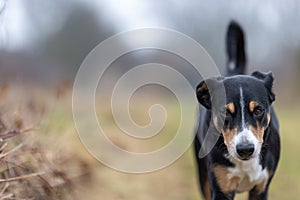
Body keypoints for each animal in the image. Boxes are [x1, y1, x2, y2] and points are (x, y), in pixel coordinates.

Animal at [193, 21, 280, 199]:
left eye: (258, 111)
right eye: (226, 112)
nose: (245, 149)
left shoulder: (261, 188)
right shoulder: (221, 188)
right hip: (203, 176)